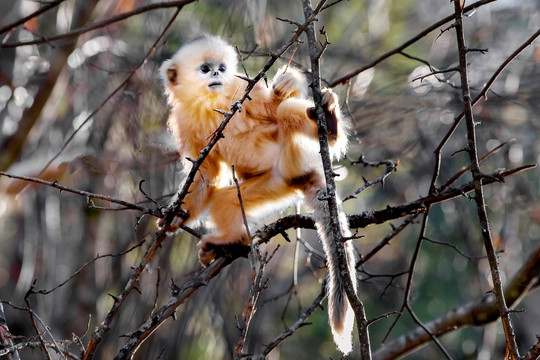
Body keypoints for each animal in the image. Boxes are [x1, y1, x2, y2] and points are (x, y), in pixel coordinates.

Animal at [158, 35, 356, 356]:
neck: (212, 102)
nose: (217, 75)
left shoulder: (242, 92)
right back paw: (229, 241)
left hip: (295, 155)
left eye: (222, 68)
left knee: (286, 113)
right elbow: (204, 174)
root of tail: (306, 171)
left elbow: (272, 105)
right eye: (205, 69)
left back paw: (330, 126)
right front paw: (177, 215)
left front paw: (286, 84)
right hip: (277, 181)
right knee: (225, 202)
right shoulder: (184, 121)